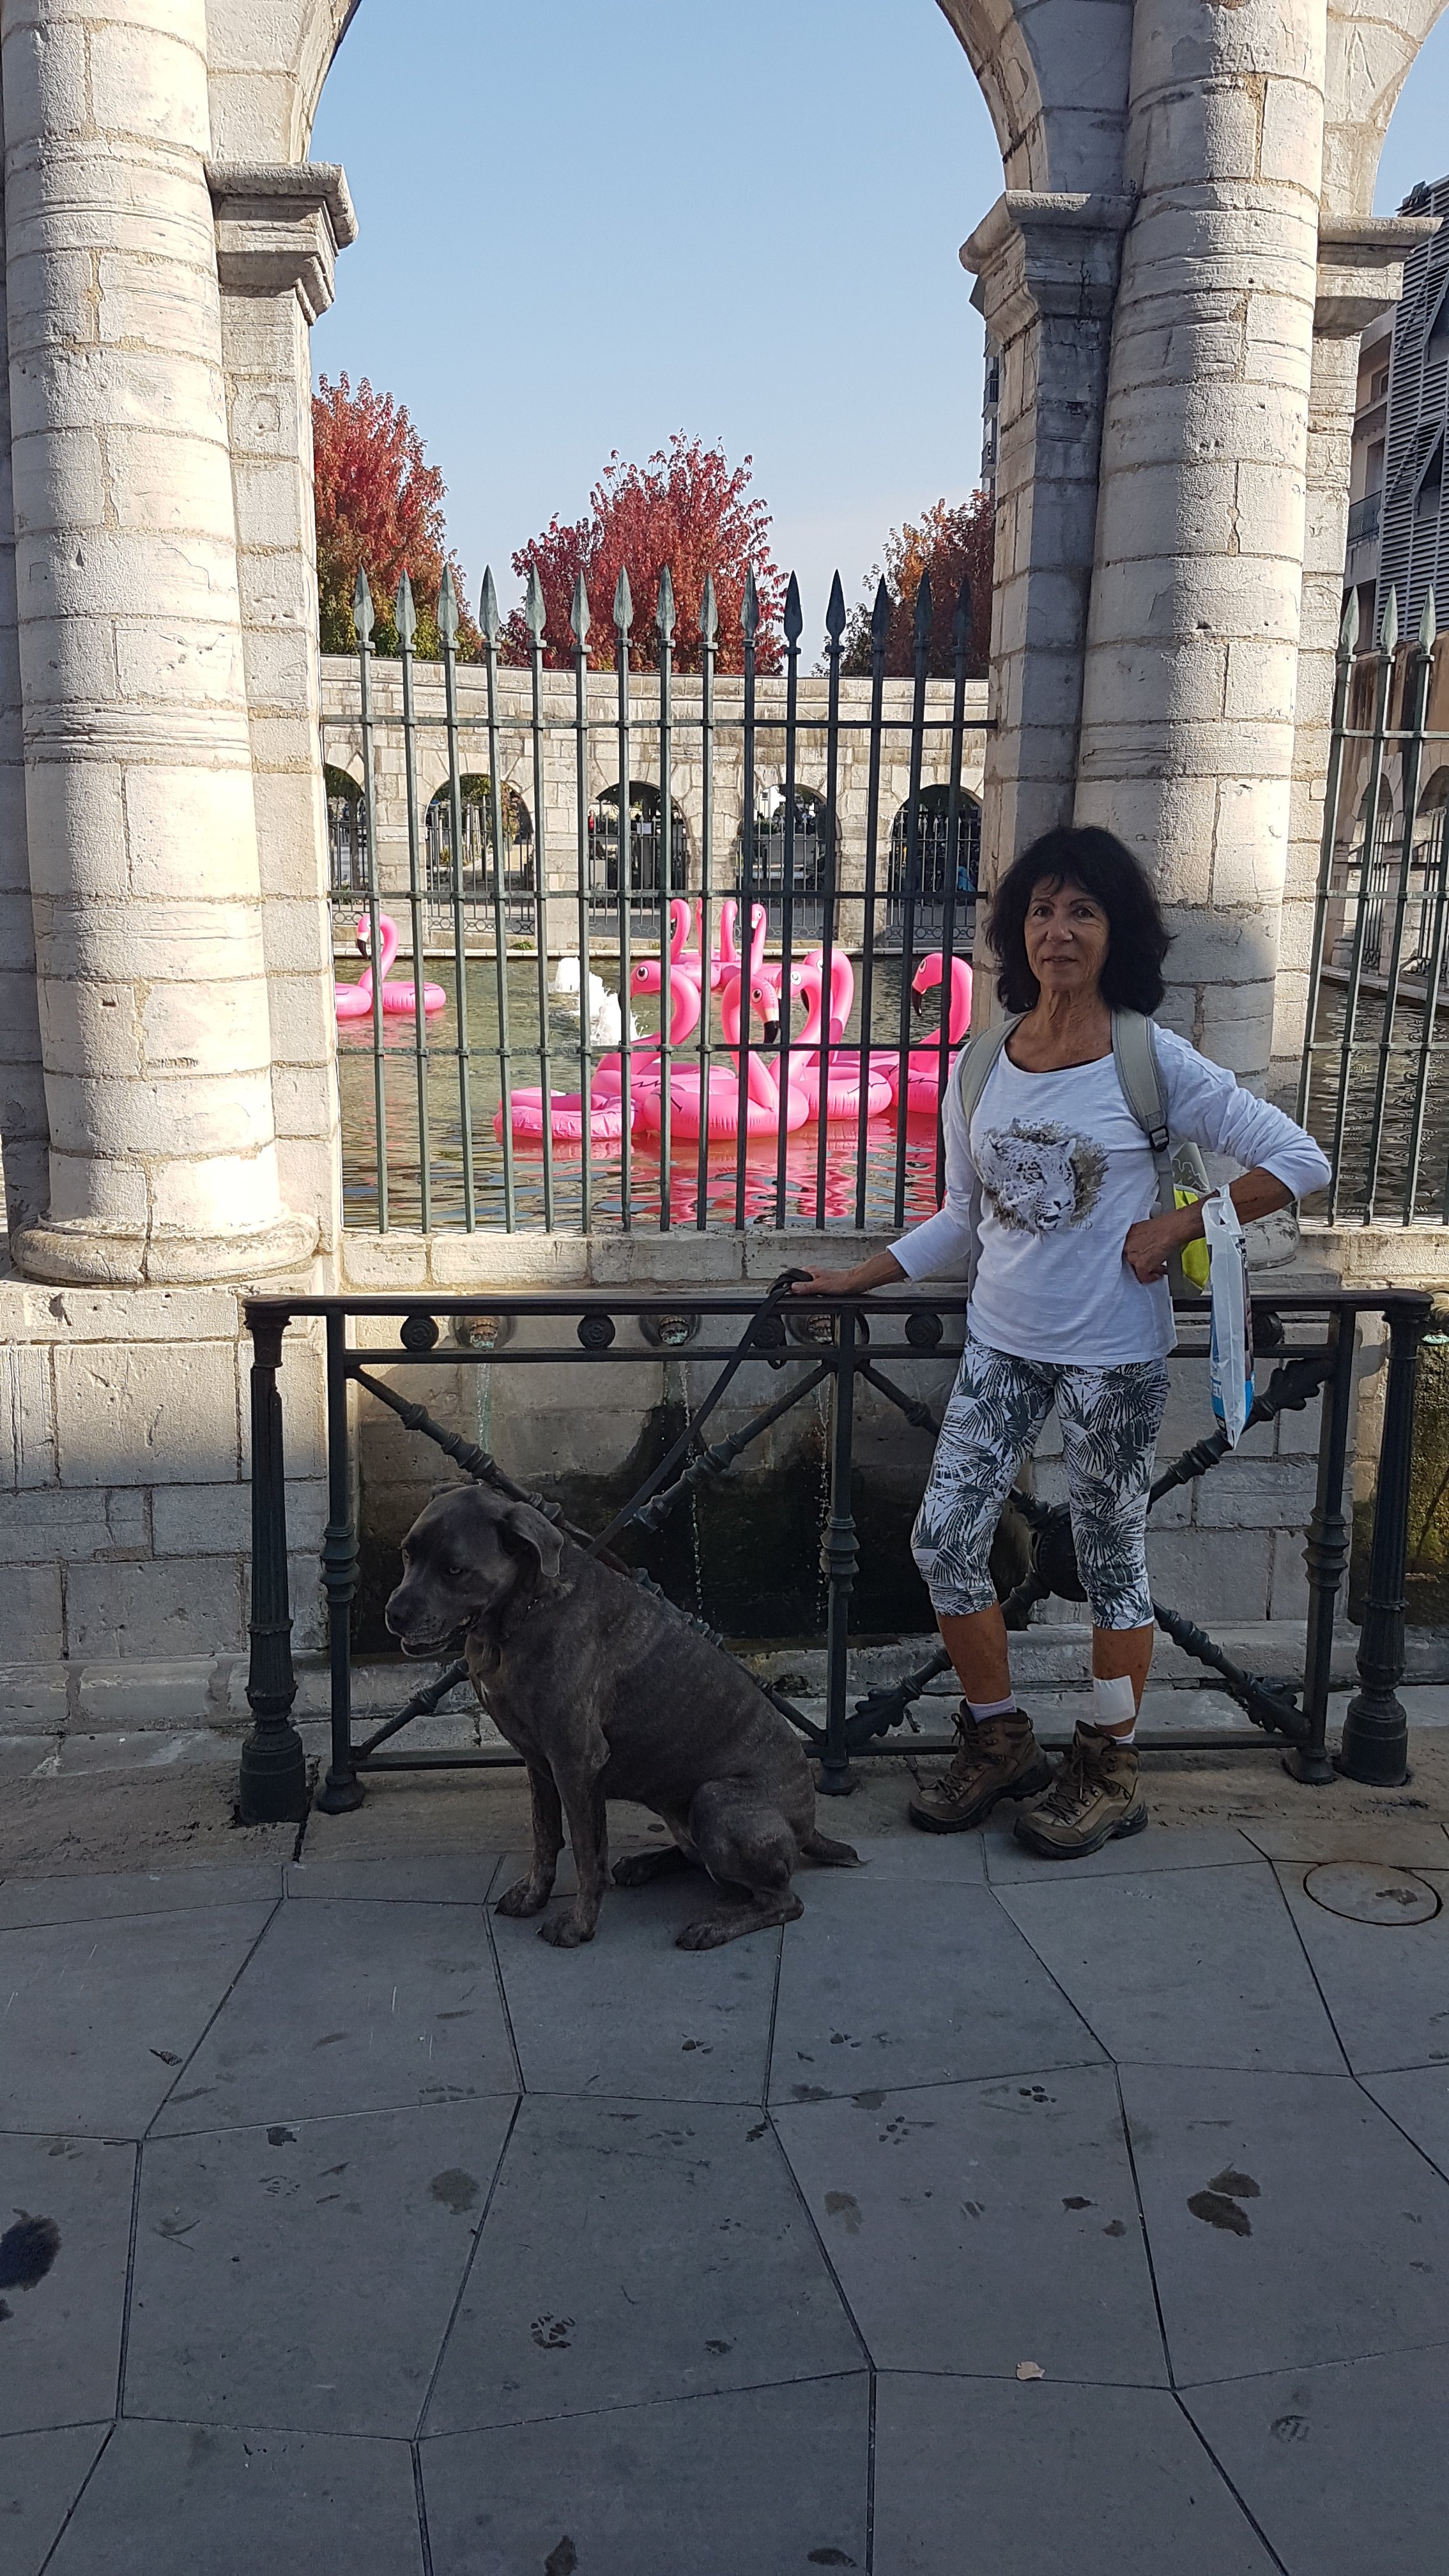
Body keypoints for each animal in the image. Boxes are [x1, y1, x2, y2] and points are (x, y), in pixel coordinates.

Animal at [385, 1483, 860, 1949]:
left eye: (455, 1570)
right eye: (408, 1554)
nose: (394, 1614)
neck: (523, 1612)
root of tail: (807, 1827)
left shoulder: (576, 1761)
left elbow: (586, 1852)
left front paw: (578, 1926)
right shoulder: (538, 1760)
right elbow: (544, 1836)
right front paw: (534, 1895)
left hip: (717, 1800)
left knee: (783, 1901)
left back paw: (714, 1926)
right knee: (698, 1858)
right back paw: (645, 1864)